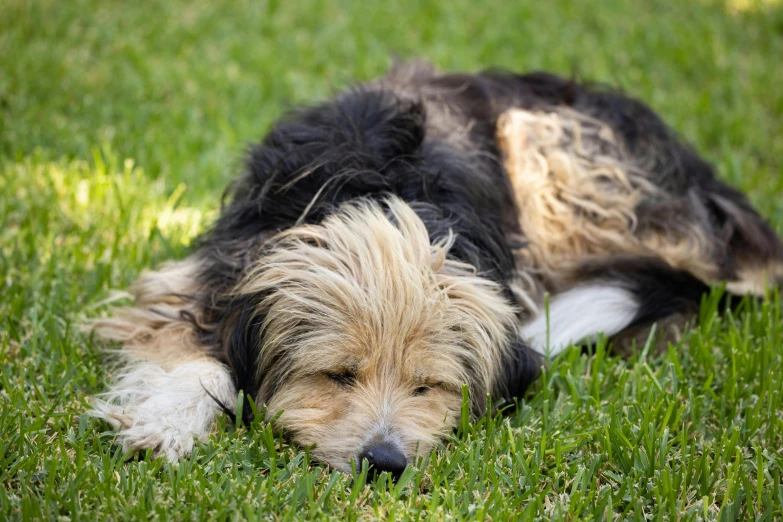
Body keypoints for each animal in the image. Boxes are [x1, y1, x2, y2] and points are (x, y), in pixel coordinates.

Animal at [90, 62, 783, 476]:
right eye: (337, 375)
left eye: (428, 386)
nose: (384, 461)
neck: (384, 195)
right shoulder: (208, 275)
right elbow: (197, 356)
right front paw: (166, 422)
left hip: (554, 155)